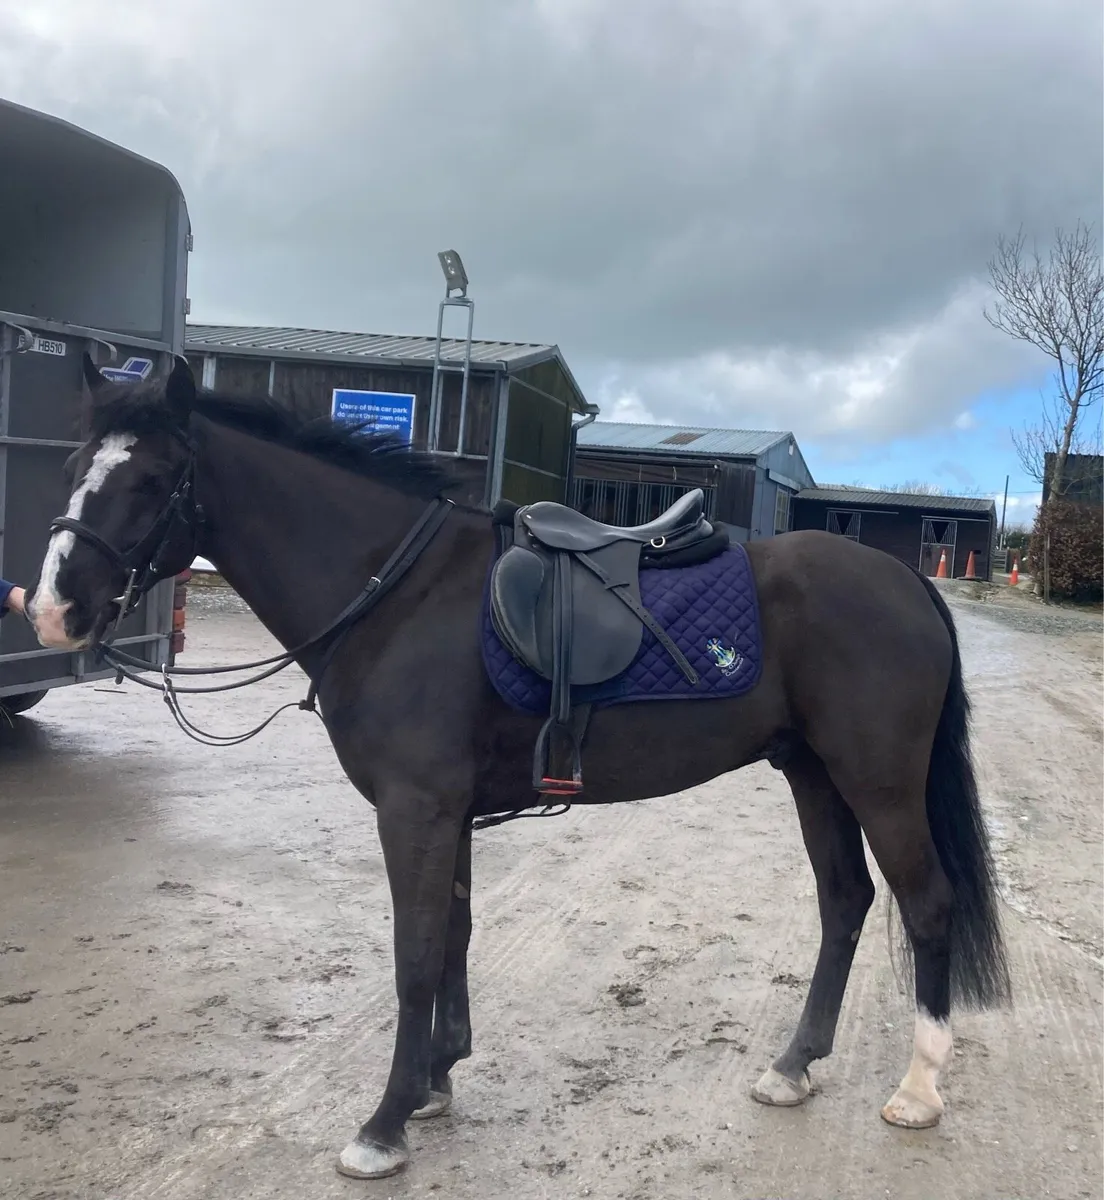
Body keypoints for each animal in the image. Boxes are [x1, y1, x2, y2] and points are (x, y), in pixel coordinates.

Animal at [25, 356, 1010, 1181]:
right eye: (74, 467)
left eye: (153, 479)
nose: (51, 611)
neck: (399, 594)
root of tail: (906, 580)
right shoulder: (447, 812)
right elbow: (453, 937)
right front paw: (435, 1078)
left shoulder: (414, 809)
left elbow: (414, 955)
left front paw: (383, 1123)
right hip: (814, 776)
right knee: (845, 903)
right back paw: (794, 1067)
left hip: (877, 782)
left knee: (926, 904)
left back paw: (918, 1090)